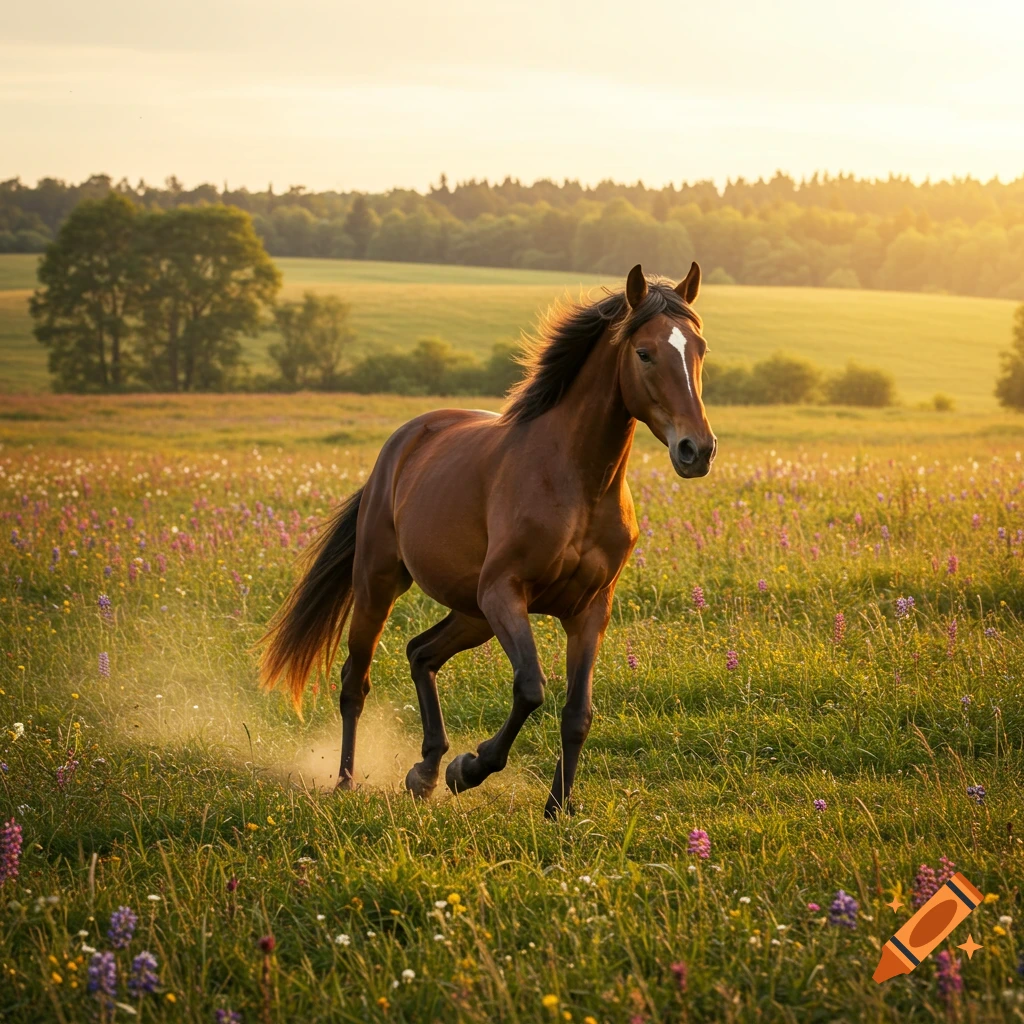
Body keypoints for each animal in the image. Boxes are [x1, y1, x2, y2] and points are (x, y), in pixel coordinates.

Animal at [259, 261, 717, 818]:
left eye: (700, 349)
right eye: (645, 352)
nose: (697, 450)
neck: (576, 481)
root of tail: (404, 441)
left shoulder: (590, 609)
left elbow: (577, 712)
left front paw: (558, 808)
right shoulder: (504, 592)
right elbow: (531, 688)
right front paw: (470, 769)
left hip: (471, 613)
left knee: (420, 653)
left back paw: (424, 771)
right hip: (381, 584)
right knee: (355, 680)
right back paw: (348, 781)